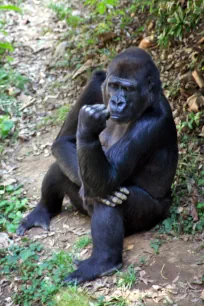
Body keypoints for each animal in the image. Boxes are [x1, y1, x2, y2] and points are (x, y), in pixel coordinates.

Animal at [16, 47, 178, 284]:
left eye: (128, 89)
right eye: (114, 86)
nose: (117, 102)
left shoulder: (153, 122)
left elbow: (109, 179)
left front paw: (88, 125)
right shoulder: (95, 84)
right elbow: (64, 141)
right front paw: (87, 126)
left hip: (156, 214)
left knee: (111, 200)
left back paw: (102, 262)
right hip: (81, 206)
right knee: (62, 167)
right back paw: (43, 210)